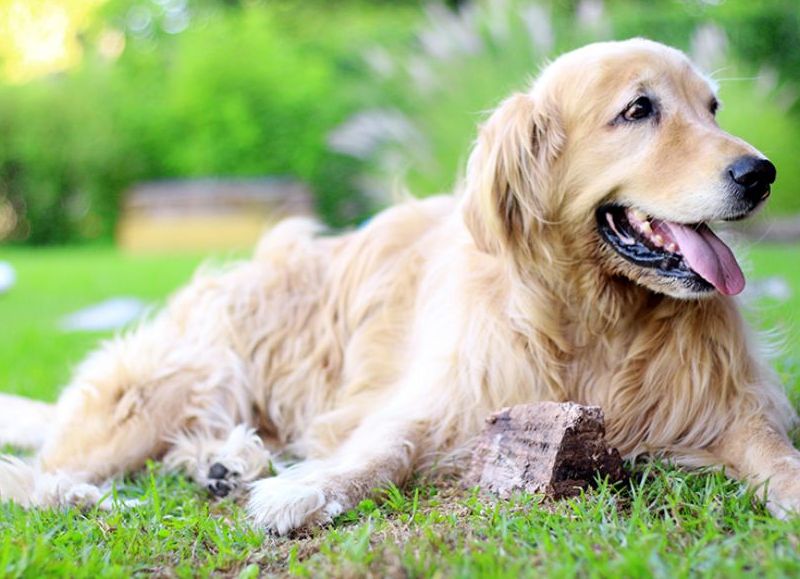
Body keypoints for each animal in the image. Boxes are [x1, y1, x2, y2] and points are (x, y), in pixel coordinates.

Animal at [1, 37, 800, 536]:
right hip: (188, 371)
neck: (593, 315)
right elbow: (379, 451)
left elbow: (775, 453)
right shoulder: (440, 394)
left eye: (713, 107)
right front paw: (306, 490)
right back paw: (81, 492)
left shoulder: (728, 404)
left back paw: (224, 464)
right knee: (34, 468)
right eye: (639, 110)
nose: (762, 172)